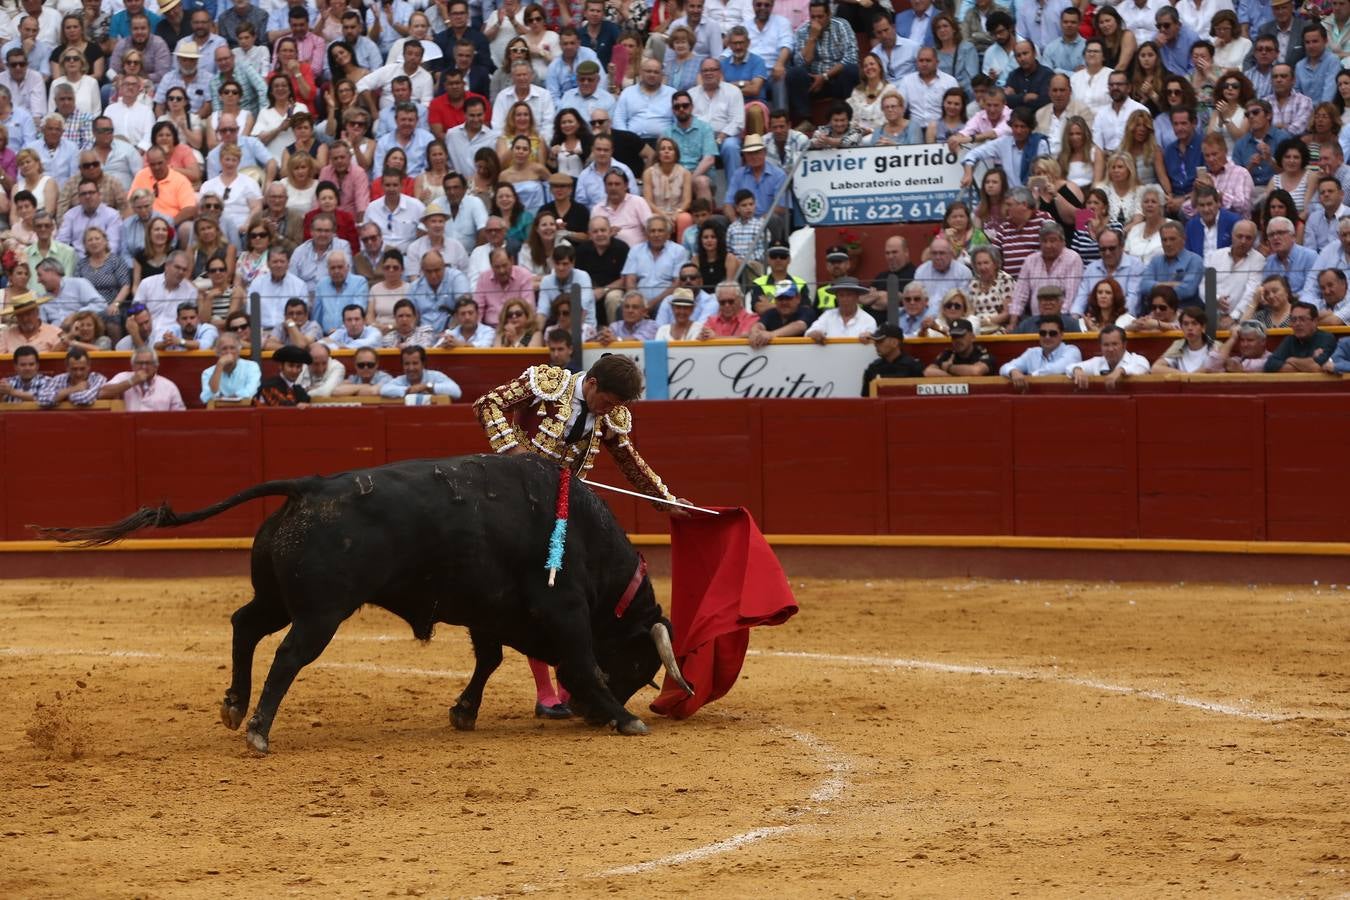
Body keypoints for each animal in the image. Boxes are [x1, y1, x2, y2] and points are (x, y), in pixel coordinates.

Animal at [36, 453, 691, 755]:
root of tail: (309, 487)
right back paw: (259, 731)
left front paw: (463, 711)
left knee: (245, 624)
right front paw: (625, 717)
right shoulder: (564, 611)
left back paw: (234, 706)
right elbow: (581, 661)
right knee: (288, 657)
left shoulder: (488, 612)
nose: (584, 714)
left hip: (280, 598)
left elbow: (489, 660)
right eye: (642, 665)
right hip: (321, 612)